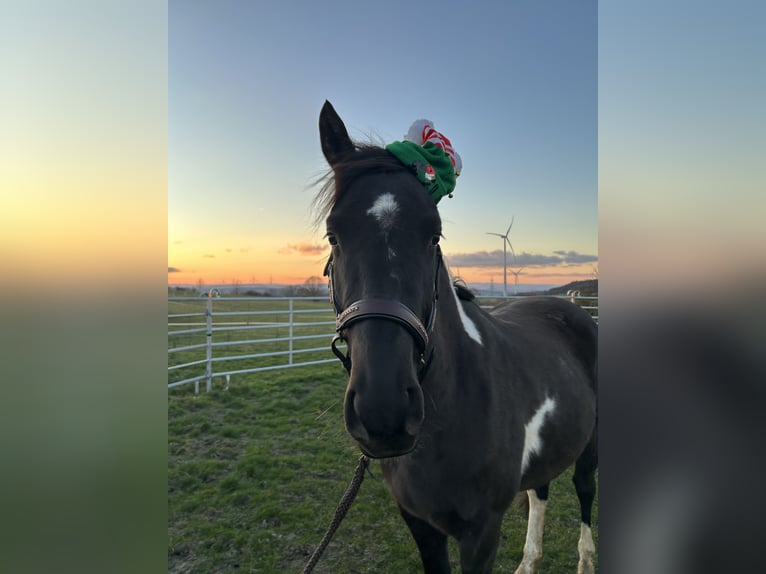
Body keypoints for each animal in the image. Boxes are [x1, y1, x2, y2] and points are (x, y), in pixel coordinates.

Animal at [316, 101, 598, 574]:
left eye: (434, 235)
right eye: (333, 235)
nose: (383, 412)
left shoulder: (481, 533)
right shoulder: (420, 525)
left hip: (591, 446)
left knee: (585, 492)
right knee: (540, 491)